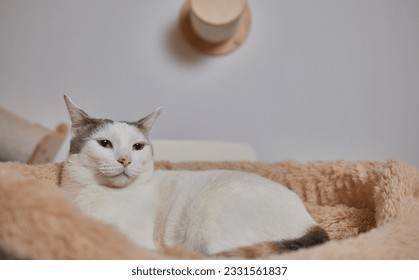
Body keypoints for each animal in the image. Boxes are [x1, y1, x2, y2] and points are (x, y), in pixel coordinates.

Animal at [60, 95, 330, 258]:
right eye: (105, 143)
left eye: (137, 147)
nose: (125, 159)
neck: (97, 195)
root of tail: (312, 225)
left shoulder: (137, 242)